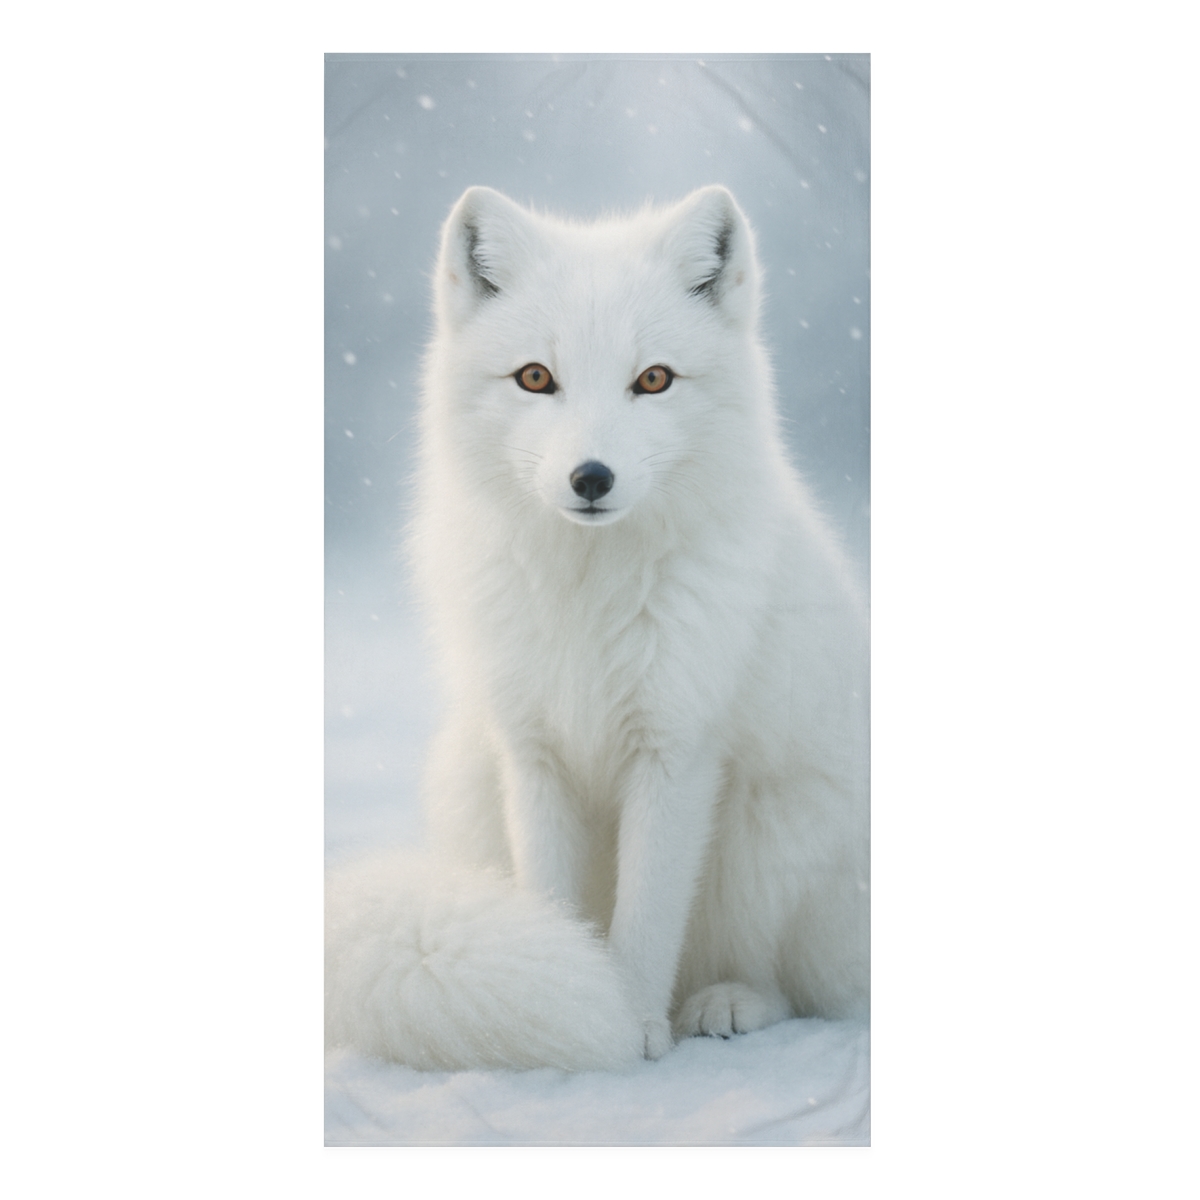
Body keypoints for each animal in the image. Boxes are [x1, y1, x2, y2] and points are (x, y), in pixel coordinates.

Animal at [325, 184, 869, 1071]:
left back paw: (726, 1002)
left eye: (653, 379)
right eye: (535, 378)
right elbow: (555, 900)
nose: (591, 477)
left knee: (802, 985)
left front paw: (631, 1022)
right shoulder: (532, 754)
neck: (589, 595)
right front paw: (569, 984)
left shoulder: (677, 750)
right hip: (469, 784)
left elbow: (646, 914)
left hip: (773, 828)